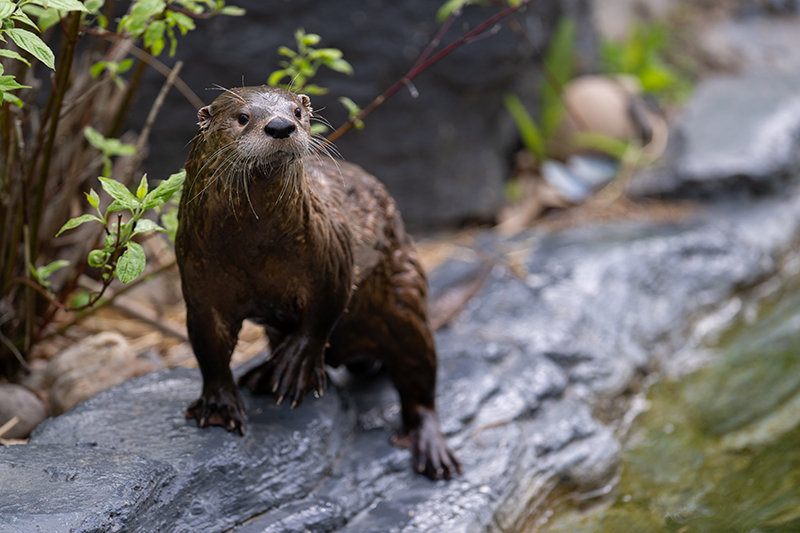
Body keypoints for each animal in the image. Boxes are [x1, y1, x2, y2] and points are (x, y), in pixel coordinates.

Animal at [175, 86, 460, 479]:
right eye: (243, 117)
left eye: (297, 111)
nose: (281, 125)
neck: (253, 251)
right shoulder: (198, 281)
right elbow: (208, 345)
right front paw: (218, 404)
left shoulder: (332, 252)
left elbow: (325, 309)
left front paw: (298, 364)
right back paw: (264, 374)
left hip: (404, 298)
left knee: (420, 378)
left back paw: (431, 448)